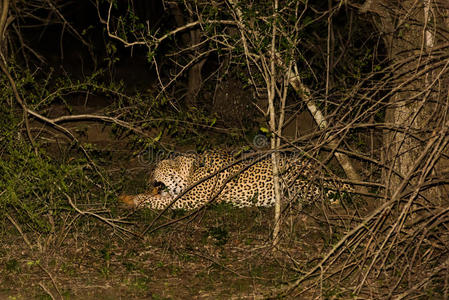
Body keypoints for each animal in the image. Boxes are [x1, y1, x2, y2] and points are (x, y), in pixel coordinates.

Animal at [117, 149, 348, 210]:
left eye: (155, 169)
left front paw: (138, 199)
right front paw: (128, 197)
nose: (148, 179)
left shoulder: (190, 200)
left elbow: (160, 201)